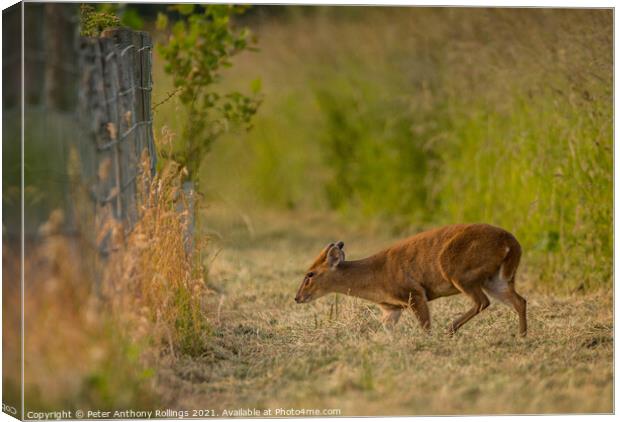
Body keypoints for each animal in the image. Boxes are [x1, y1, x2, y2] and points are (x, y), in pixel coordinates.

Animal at [296, 224, 528, 336]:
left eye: (310, 274)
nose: (297, 298)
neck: (375, 277)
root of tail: (512, 243)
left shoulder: (413, 292)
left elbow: (425, 326)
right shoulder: (391, 308)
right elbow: (384, 329)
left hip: (459, 271)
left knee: (482, 301)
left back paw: (450, 330)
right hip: (496, 279)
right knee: (519, 301)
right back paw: (522, 335)